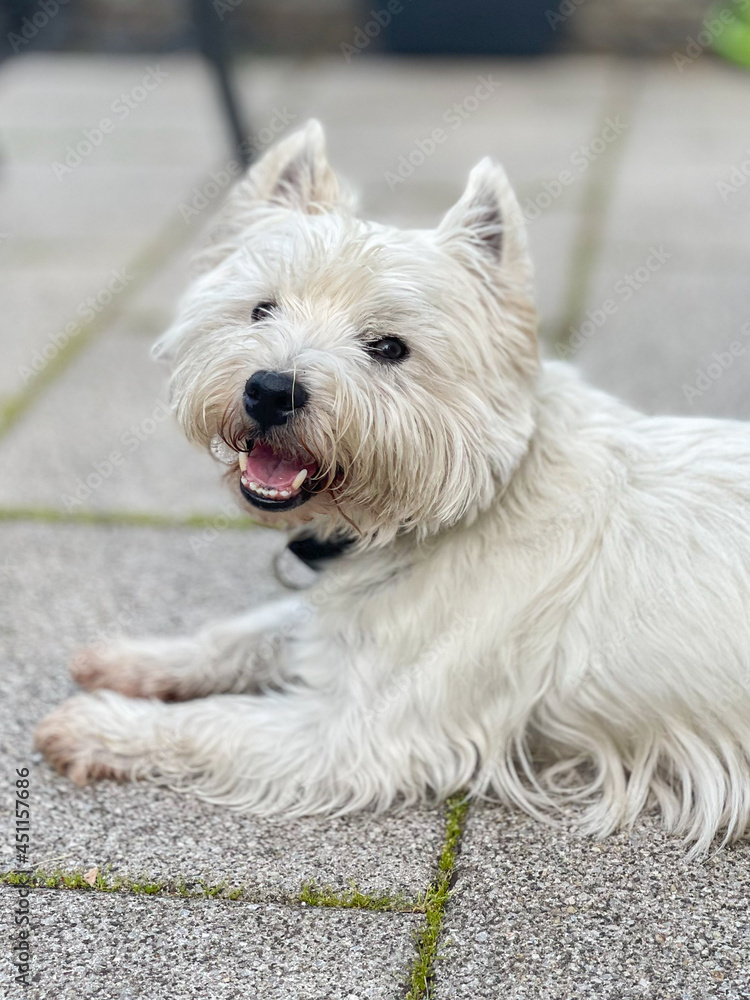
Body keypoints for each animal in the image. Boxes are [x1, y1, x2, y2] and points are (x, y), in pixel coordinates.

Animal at [38, 117, 750, 852]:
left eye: (388, 347)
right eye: (262, 310)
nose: (269, 389)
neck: (446, 513)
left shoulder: (361, 735)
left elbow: (216, 723)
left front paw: (99, 724)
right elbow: (250, 631)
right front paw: (138, 660)